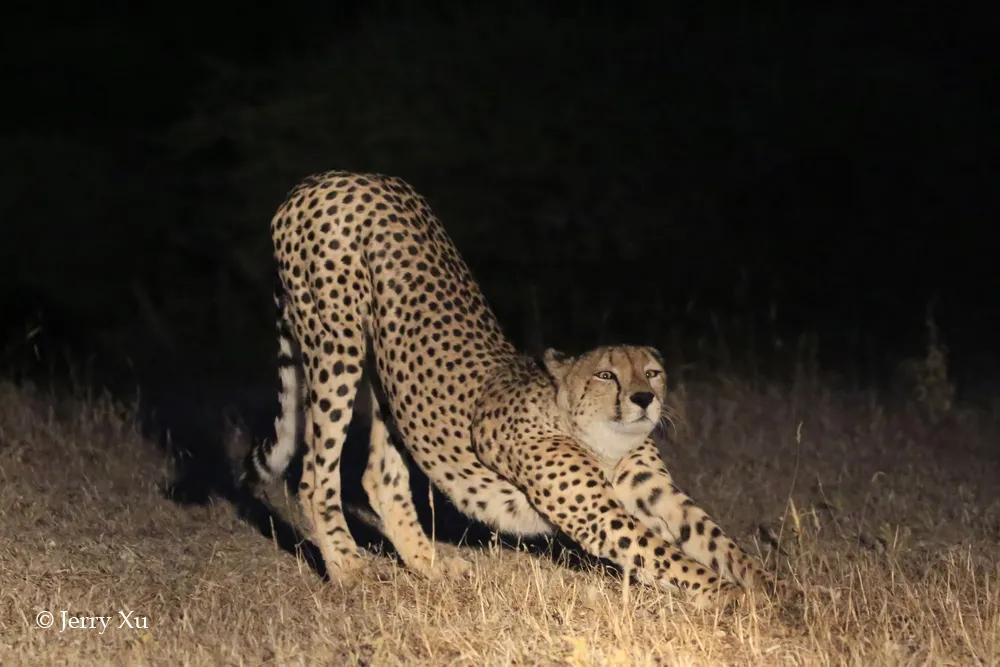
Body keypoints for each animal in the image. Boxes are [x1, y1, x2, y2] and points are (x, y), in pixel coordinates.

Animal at [244, 171, 764, 604]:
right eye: (606, 375)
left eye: (652, 372)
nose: (645, 399)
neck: (601, 437)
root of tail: (328, 177)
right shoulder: (600, 515)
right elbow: (664, 554)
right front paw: (729, 597)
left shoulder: (660, 496)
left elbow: (714, 539)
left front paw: (769, 585)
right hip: (337, 342)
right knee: (315, 475)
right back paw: (350, 570)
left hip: (384, 370)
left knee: (381, 477)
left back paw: (429, 566)